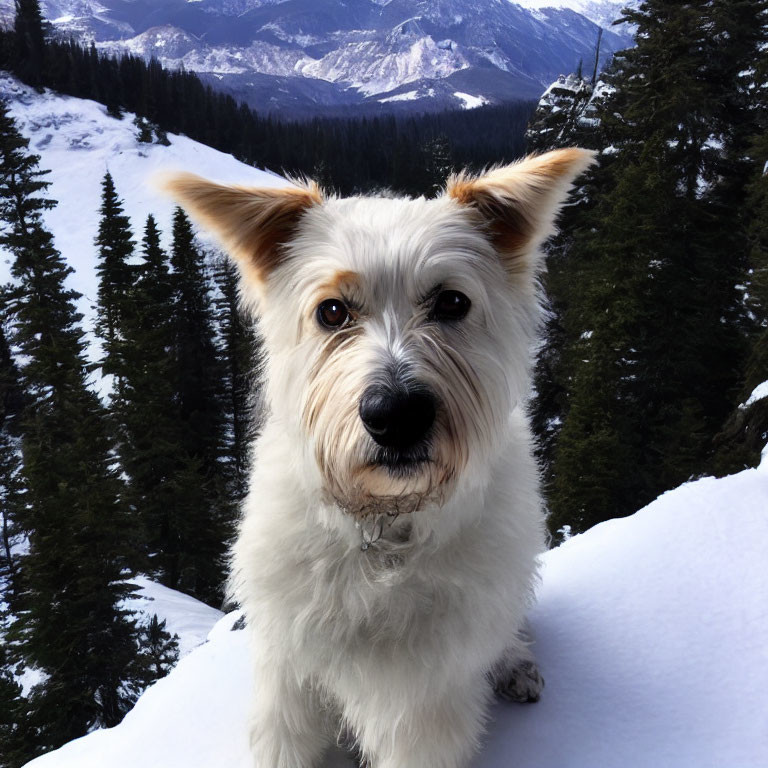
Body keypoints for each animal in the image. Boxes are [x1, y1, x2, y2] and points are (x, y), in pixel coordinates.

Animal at [162, 146, 592, 768]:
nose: (396, 416)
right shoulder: (290, 681)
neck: (384, 532)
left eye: (452, 302)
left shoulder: (422, 703)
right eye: (332, 311)